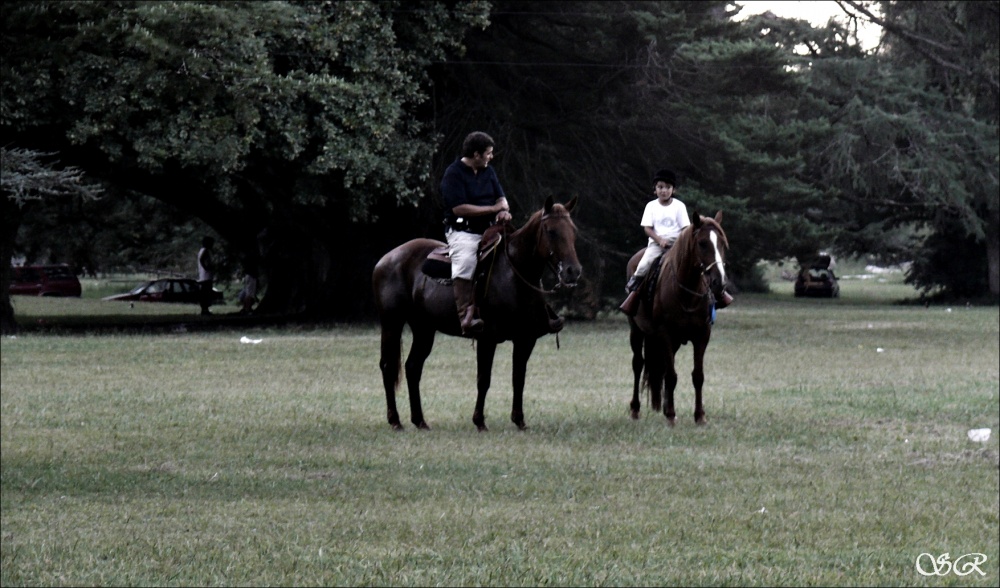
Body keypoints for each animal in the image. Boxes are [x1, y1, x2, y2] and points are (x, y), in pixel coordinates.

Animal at [374, 195, 580, 430]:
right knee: (388, 367)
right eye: (551, 231)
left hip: (424, 329)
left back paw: (420, 421)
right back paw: (395, 421)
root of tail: (385, 259)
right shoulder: (487, 339)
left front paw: (519, 420)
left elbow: (518, 378)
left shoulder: (525, 339)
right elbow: (484, 379)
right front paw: (479, 421)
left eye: (573, 230)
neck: (514, 275)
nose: (573, 271)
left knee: (412, 367)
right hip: (391, 323)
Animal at [628, 211, 732, 422]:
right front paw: (670, 415)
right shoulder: (665, 334)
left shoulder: (702, 335)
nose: (719, 283)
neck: (687, 293)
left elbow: (697, 376)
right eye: (702, 243)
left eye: (722, 244)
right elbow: (671, 375)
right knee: (638, 364)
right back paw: (635, 409)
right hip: (636, 331)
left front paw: (699, 416)